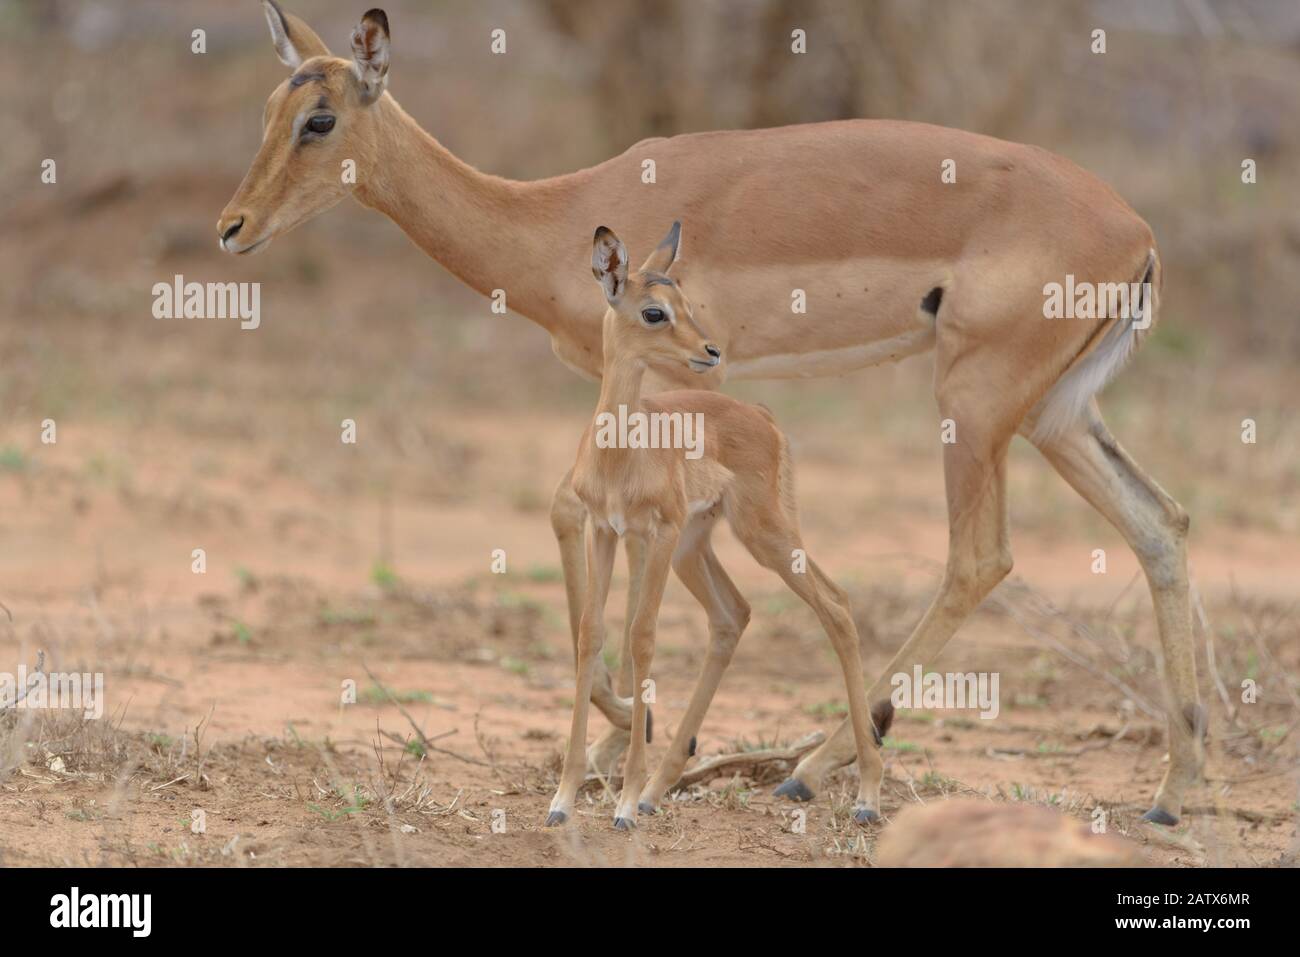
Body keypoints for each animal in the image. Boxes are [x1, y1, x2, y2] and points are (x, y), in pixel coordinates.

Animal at [546, 221, 883, 829]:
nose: (711, 351)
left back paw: (863, 794)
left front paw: (623, 804)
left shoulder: (654, 533)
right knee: (733, 615)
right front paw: (563, 800)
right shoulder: (605, 531)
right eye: (654, 311)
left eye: (688, 303)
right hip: (695, 546)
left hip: (762, 533)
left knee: (836, 605)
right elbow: (591, 635)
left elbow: (643, 636)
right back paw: (659, 789)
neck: (620, 452)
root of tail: (764, 417)